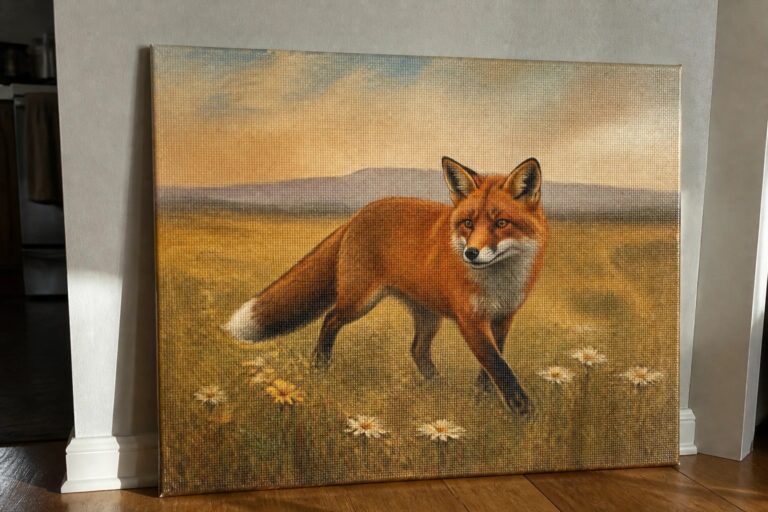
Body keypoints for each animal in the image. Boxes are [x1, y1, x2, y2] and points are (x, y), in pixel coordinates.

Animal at [223, 157, 548, 414]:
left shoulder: (502, 318)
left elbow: (491, 366)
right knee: (330, 319)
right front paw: (523, 412)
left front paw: (484, 401)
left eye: (501, 223)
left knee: (417, 350)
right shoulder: (470, 319)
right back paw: (320, 367)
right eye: (468, 223)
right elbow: (499, 367)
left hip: (428, 314)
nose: (471, 253)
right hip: (360, 300)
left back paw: (438, 387)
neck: (499, 281)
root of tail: (358, 214)